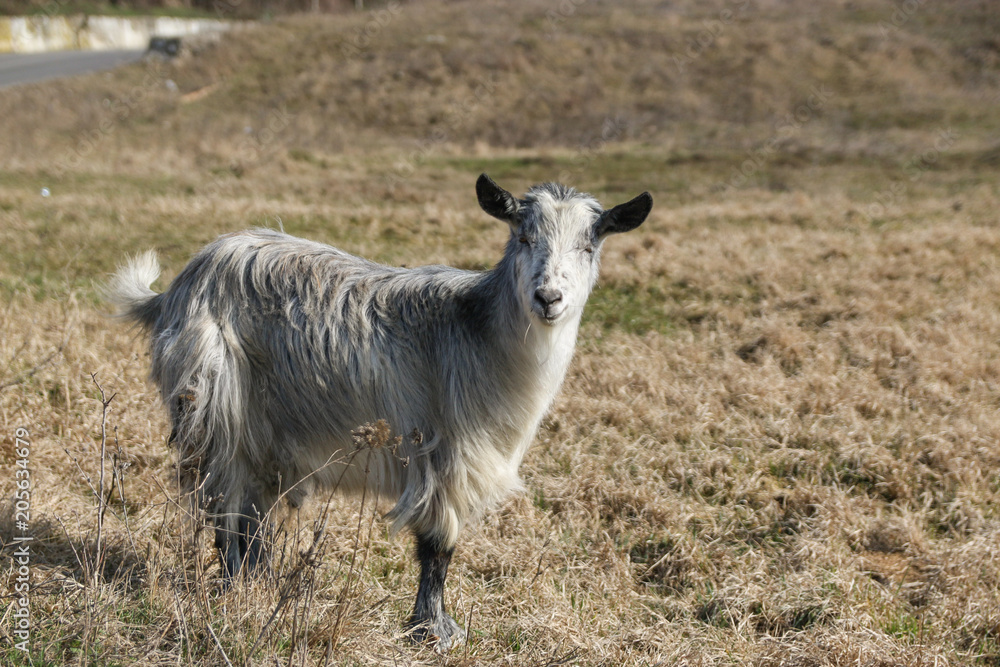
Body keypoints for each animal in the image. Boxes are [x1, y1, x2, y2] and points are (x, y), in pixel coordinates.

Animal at [105, 174, 652, 650]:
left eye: (590, 245)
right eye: (522, 235)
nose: (548, 298)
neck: (476, 332)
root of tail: (173, 290)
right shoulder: (444, 455)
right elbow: (438, 547)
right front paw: (434, 631)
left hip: (263, 430)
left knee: (252, 510)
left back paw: (261, 585)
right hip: (217, 410)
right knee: (226, 504)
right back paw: (236, 589)